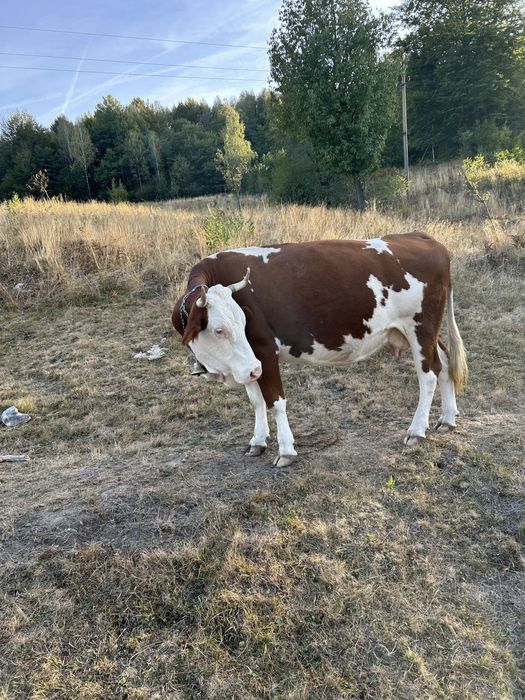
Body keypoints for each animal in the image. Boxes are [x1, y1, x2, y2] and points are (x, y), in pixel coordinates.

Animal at [172, 233, 468, 467]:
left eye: (243, 322)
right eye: (219, 330)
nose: (254, 369)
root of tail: (421, 237)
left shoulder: (263, 350)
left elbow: (275, 401)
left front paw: (286, 450)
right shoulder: (247, 360)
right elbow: (256, 401)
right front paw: (257, 441)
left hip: (420, 326)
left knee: (428, 374)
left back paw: (417, 430)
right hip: (423, 331)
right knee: (443, 362)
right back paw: (447, 418)